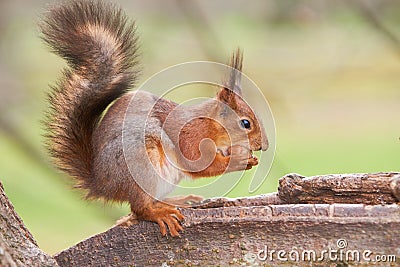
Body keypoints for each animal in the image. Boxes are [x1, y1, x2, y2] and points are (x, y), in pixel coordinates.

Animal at [39, 0, 268, 239]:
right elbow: (197, 164)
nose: (264, 146)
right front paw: (240, 159)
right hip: (140, 163)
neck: (210, 126)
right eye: (246, 123)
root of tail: (103, 184)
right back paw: (161, 213)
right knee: (140, 209)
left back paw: (178, 201)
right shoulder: (190, 136)